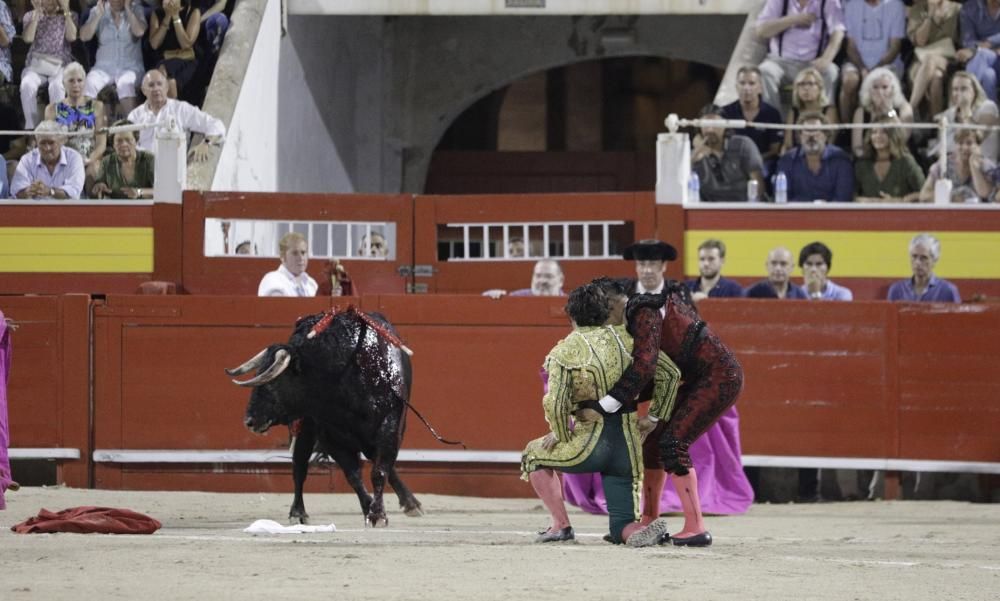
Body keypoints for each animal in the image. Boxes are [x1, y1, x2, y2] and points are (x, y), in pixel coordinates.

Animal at [227, 310, 422, 524]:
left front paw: (377, 513)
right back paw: (298, 513)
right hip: (305, 429)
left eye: (271, 383)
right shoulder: (330, 436)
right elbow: (353, 475)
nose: (249, 421)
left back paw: (411, 504)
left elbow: (380, 470)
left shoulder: (390, 426)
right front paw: (368, 508)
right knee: (299, 467)